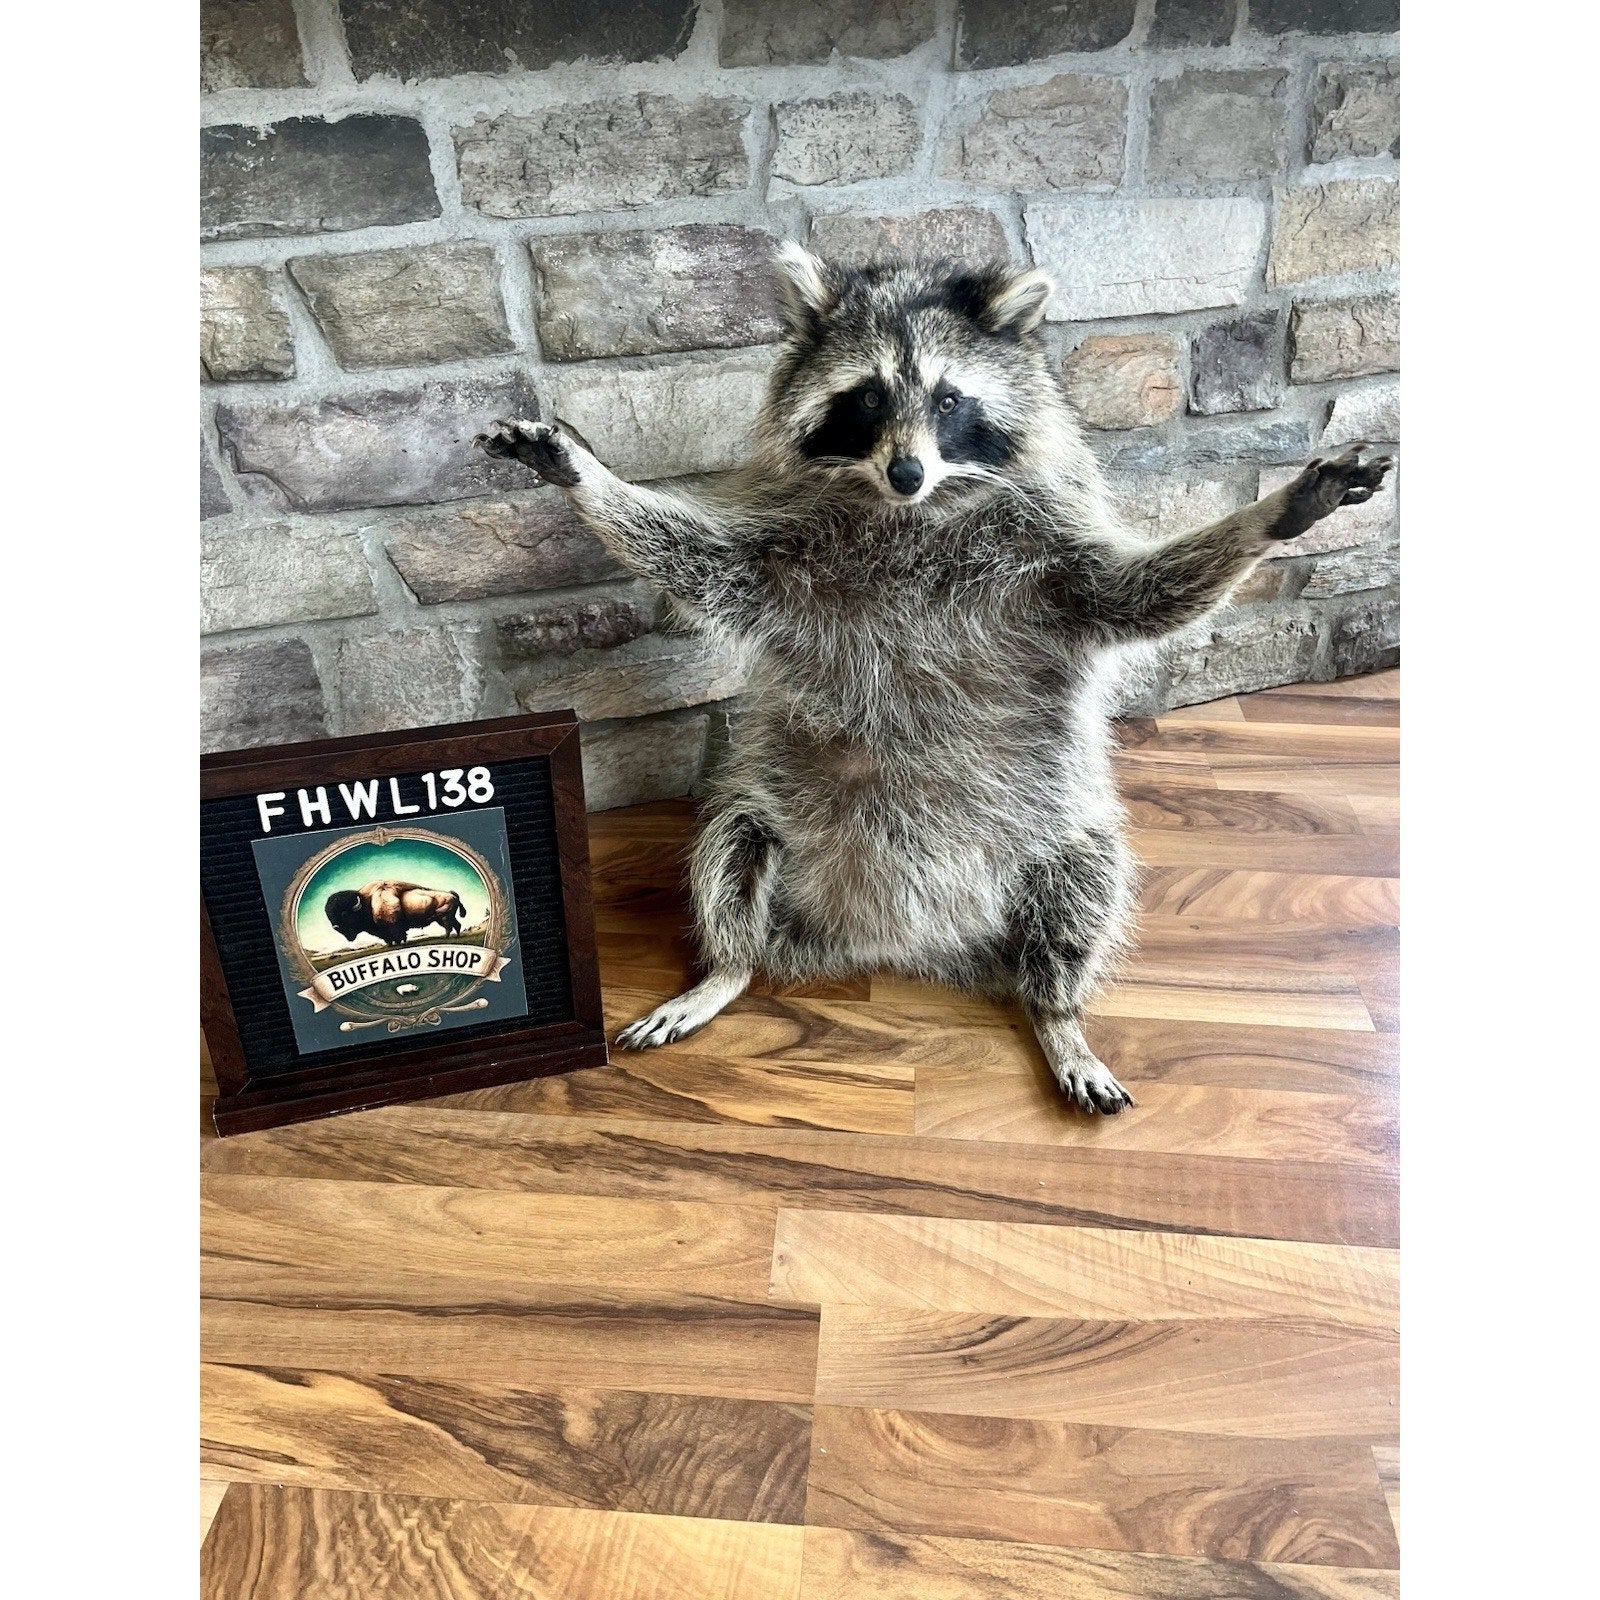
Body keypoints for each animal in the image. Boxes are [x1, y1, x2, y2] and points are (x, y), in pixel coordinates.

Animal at [478, 246, 1390, 1112]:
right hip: (771, 804)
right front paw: (585, 476)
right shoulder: (778, 559)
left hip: (1056, 834)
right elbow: (697, 564)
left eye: (950, 401)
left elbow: (1141, 595)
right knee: (730, 848)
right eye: (868, 398)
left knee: (1087, 884)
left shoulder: (1054, 569)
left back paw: (1058, 1011)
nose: (907, 472)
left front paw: (1273, 513)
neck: (914, 515)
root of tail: (892, 939)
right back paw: (726, 967)